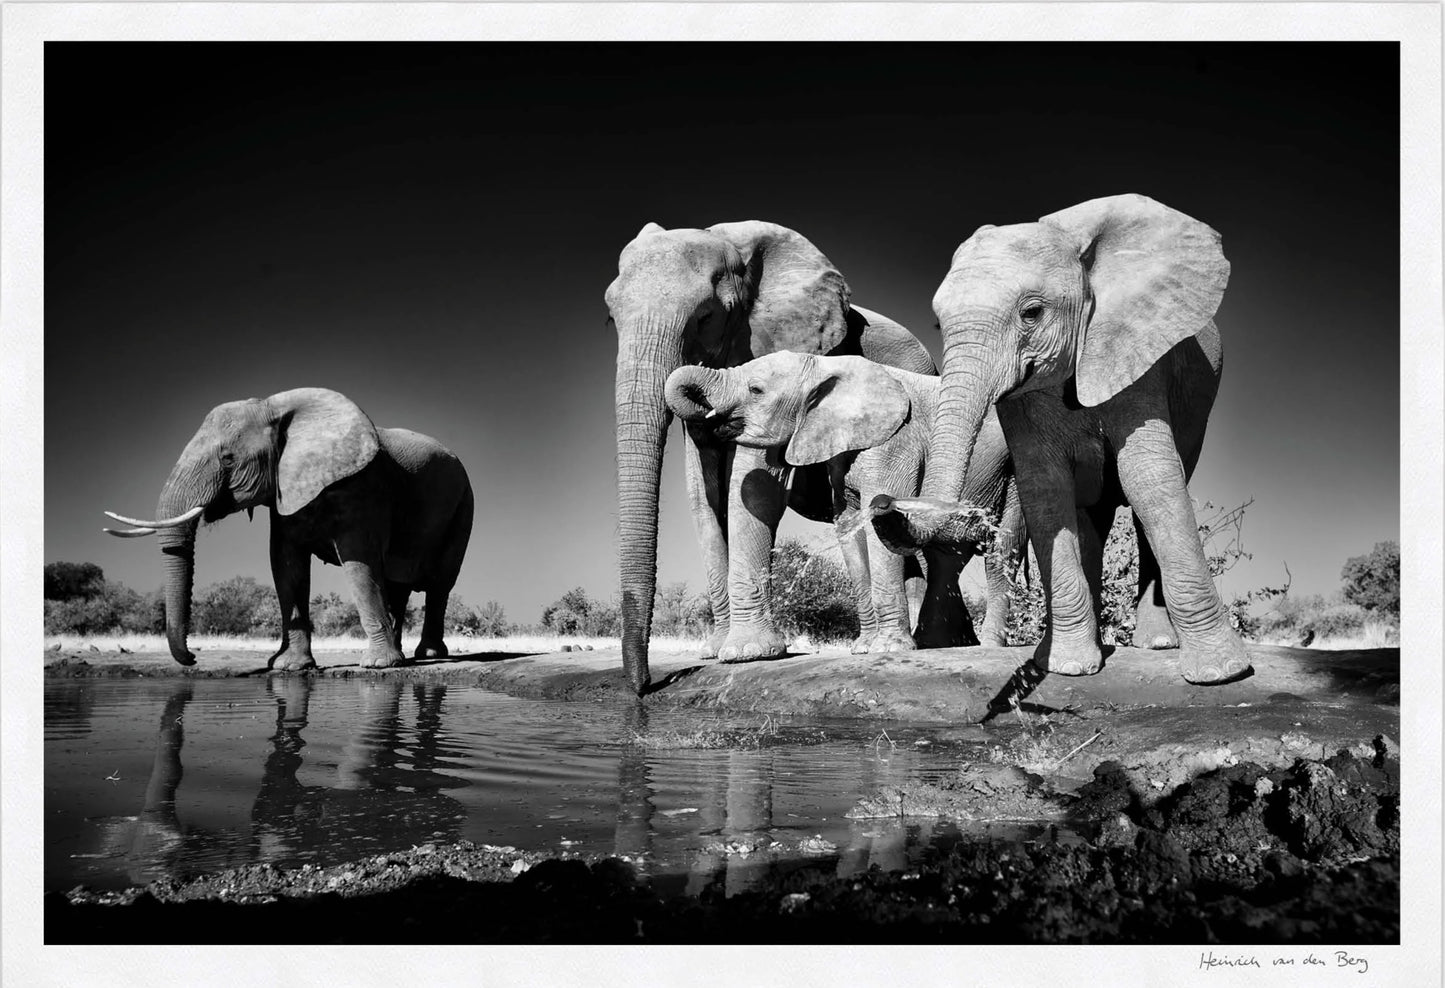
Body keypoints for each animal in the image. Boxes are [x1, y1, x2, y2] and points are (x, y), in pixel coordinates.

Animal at [104, 387, 473, 671]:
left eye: (228, 458)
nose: (194, 657)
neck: (275, 408)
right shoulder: (283, 492)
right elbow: (286, 566)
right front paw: (289, 667)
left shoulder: (363, 489)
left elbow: (360, 566)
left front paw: (378, 666)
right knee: (399, 585)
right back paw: (407, 657)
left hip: (464, 506)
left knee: (440, 583)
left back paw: (426, 656)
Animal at [608, 220, 936, 694]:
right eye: (610, 318)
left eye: (706, 316)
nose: (645, 686)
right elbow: (702, 494)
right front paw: (715, 652)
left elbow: (756, 483)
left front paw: (748, 653)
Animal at [665, 351, 1028, 652]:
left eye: (756, 390)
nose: (707, 422)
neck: (824, 367)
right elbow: (850, 531)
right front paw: (864, 649)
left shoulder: (895, 442)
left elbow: (878, 535)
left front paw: (888, 649)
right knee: (945, 557)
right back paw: (939, 643)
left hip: (1014, 474)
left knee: (1001, 552)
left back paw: (988, 645)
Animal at [873, 193, 1250, 685]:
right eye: (938, 325)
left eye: (1032, 312)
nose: (882, 502)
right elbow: (1046, 489)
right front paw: (1069, 668)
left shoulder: (1136, 351)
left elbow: (1149, 478)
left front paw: (1221, 673)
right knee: (1090, 517)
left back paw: (1157, 644)